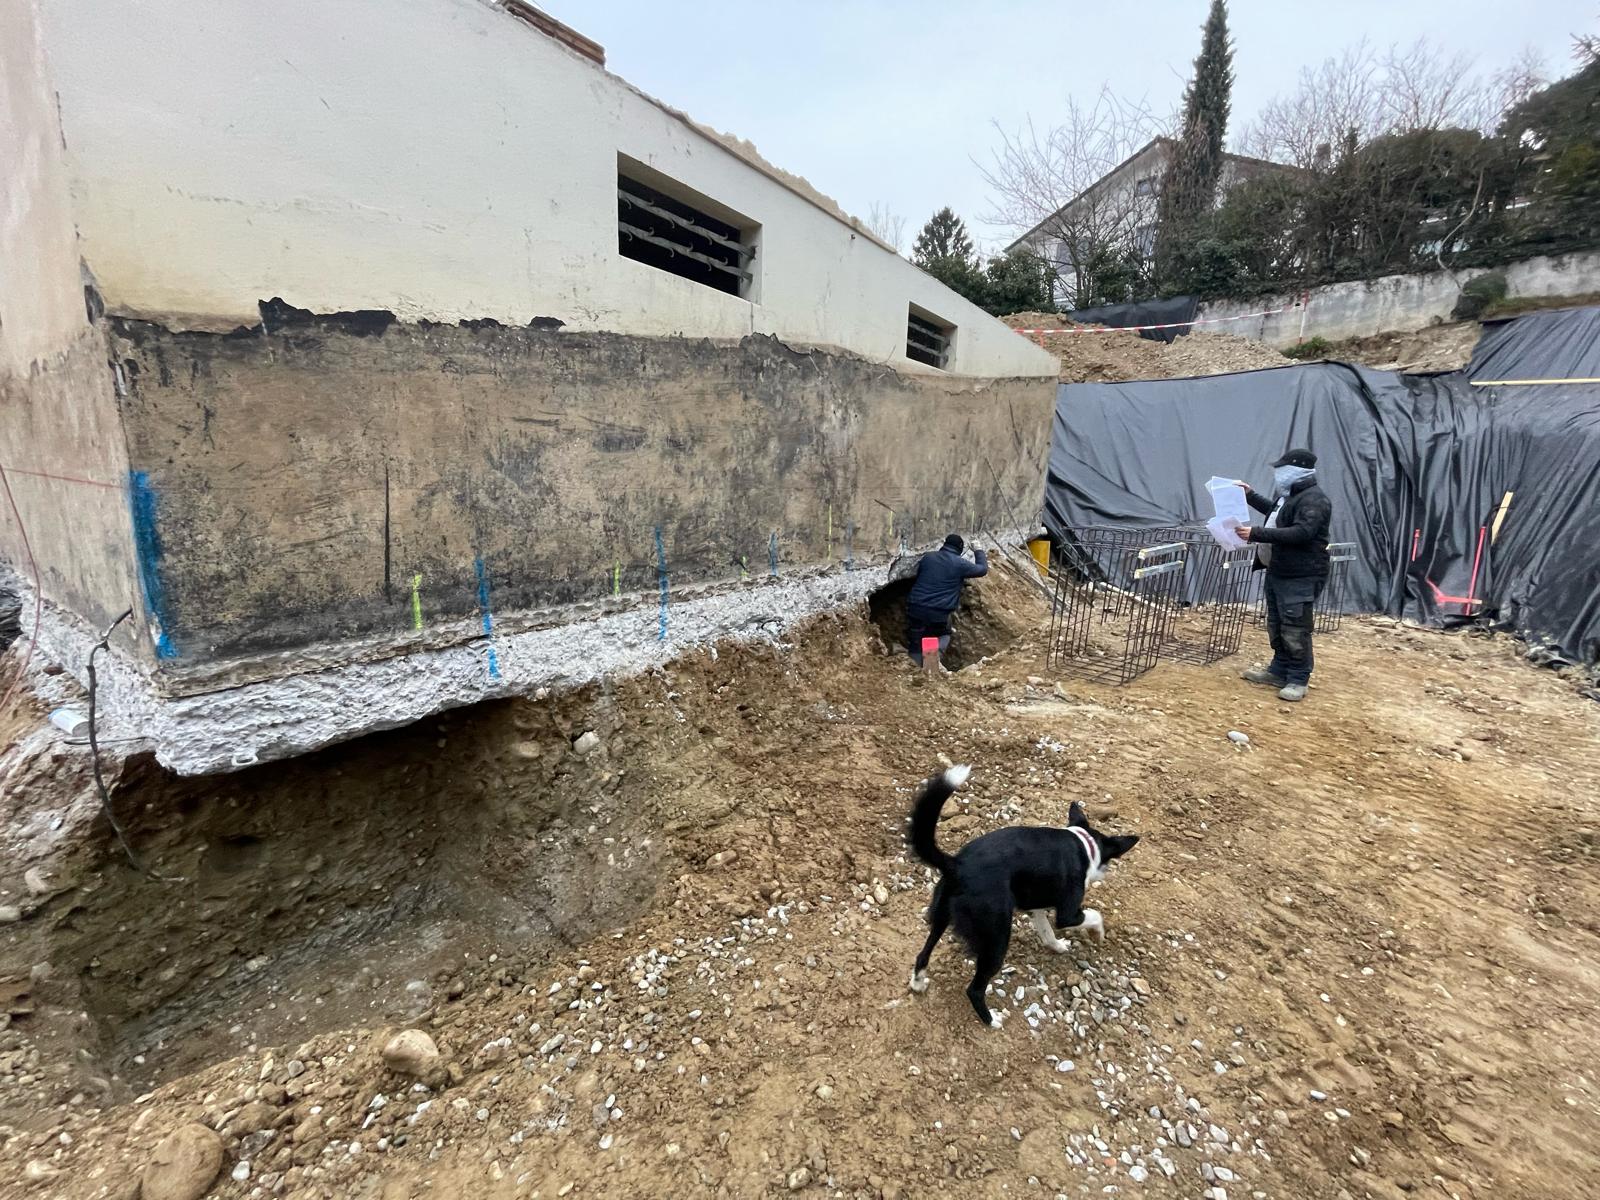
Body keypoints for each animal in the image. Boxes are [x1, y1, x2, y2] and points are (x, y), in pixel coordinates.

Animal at [906, 764, 1140, 1027]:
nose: (1103, 873)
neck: (1084, 845)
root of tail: (956, 864)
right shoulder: (1068, 913)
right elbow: (1093, 915)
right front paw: (1097, 932)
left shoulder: (1035, 907)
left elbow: (1046, 932)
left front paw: (1057, 946)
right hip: (996, 938)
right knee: (974, 989)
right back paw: (992, 1020)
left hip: (941, 918)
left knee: (923, 954)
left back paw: (918, 983)